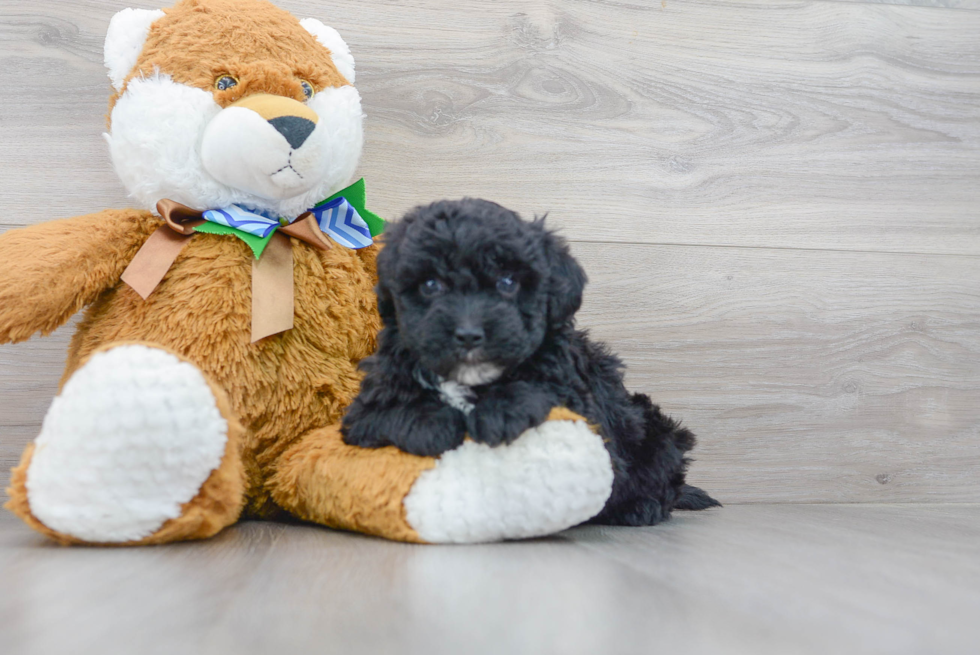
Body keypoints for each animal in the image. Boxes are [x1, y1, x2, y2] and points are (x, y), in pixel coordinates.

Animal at [344, 197, 720, 524]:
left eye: (508, 282)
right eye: (431, 284)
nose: (469, 334)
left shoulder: (580, 400)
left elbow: (541, 384)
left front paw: (501, 410)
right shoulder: (365, 408)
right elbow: (387, 411)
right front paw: (429, 423)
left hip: (657, 435)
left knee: (664, 480)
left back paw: (641, 508)